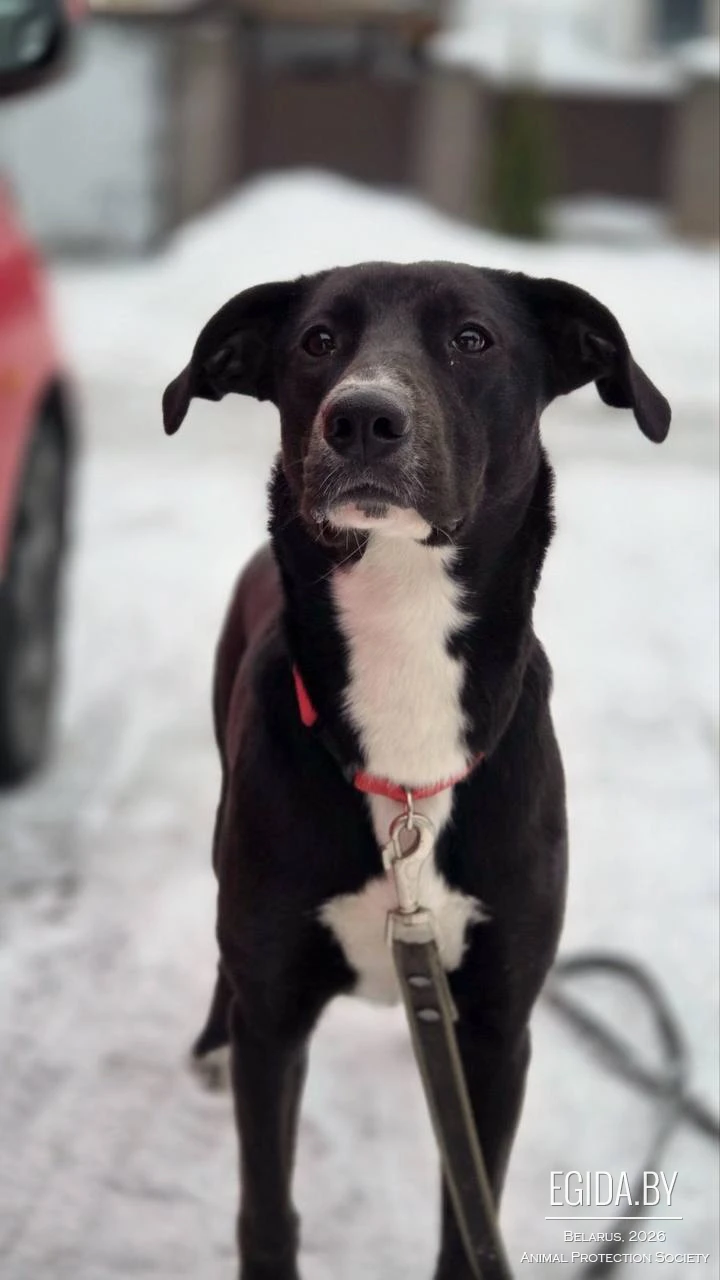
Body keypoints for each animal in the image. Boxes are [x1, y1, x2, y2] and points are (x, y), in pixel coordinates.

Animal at [163, 262, 670, 1280]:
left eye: (473, 338)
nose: (363, 417)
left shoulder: (498, 1033)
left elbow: (465, 1224)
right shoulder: (275, 1017)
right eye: (317, 340)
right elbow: (266, 1213)